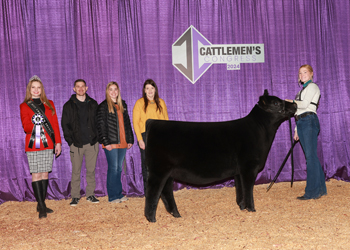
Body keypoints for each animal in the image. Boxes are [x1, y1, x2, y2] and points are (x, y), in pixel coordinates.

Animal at [144, 90, 296, 223]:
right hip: (159, 169)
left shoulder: (239, 171)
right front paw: (251, 209)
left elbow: (240, 189)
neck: (260, 131)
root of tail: (153, 122)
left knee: (166, 191)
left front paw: (241, 206)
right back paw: (151, 218)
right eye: (276, 103)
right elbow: (248, 189)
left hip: (168, 172)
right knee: (153, 190)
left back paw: (175, 213)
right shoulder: (249, 167)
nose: (294, 104)